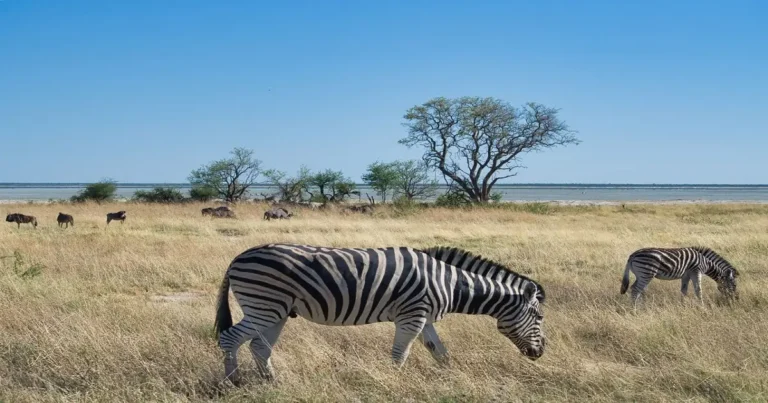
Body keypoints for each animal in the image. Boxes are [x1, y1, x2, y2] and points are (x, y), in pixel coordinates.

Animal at [214, 243, 546, 384]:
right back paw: (232, 382)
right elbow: (400, 354)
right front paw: (394, 383)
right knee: (229, 339)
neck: (450, 283)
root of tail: (237, 258)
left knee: (259, 347)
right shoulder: (412, 316)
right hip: (264, 306)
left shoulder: (423, 317)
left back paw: (273, 382)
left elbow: (439, 351)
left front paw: (452, 377)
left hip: (277, 311)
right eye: (540, 318)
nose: (541, 353)